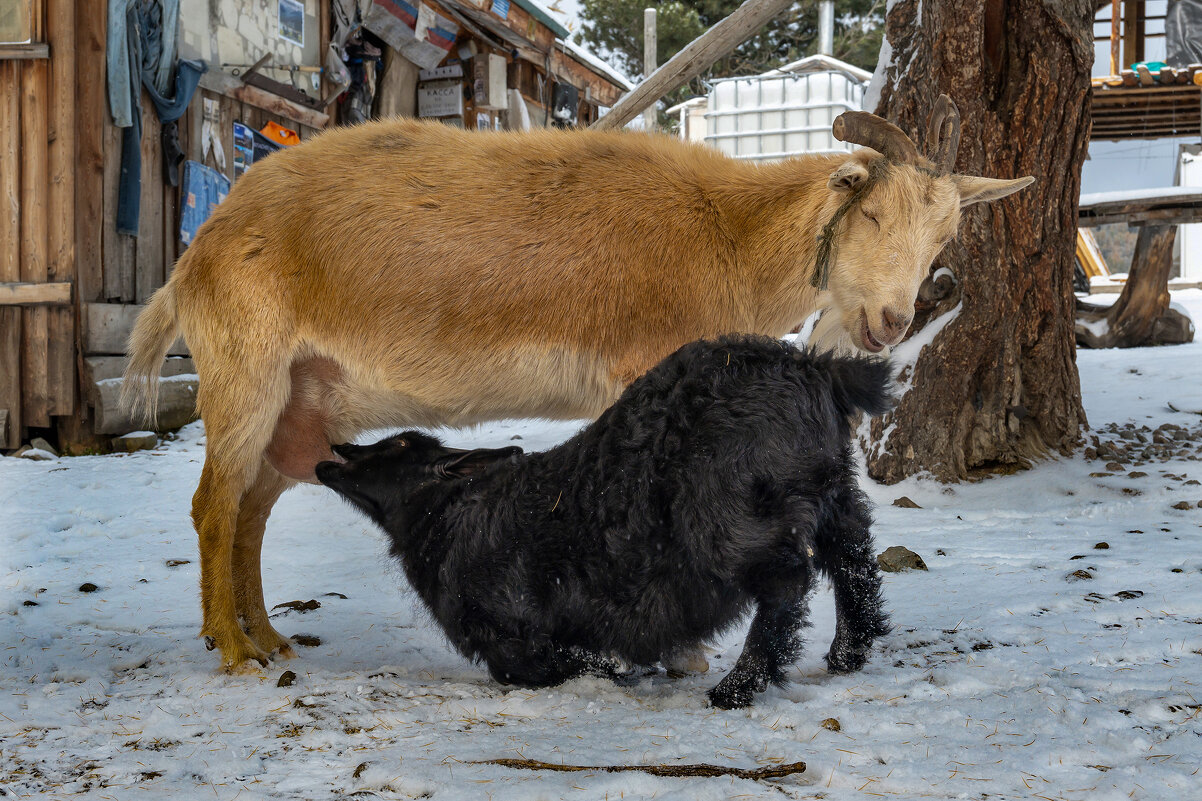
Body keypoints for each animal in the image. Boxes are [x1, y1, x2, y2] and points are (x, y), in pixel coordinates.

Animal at [124, 102, 1033, 668]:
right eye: (873, 213)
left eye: (944, 233)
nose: (889, 320)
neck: (725, 232)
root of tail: (194, 257)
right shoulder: (640, 366)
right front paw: (684, 651)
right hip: (244, 371)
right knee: (214, 507)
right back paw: (234, 651)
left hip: (303, 401)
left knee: (250, 511)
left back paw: (267, 638)